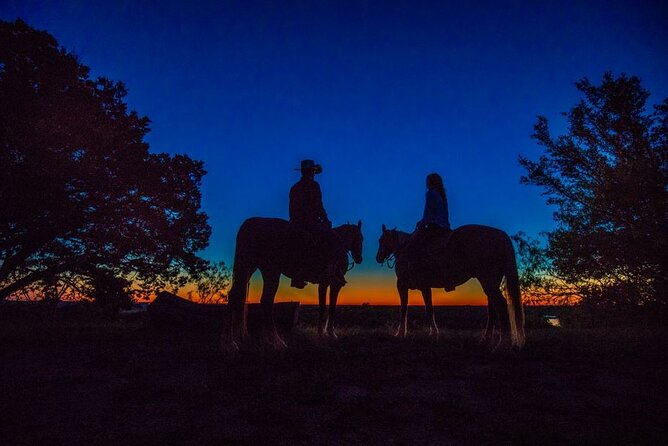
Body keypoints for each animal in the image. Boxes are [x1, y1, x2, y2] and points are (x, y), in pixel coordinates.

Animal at [220, 218, 362, 350]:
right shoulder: (329, 283)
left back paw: (230, 342)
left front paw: (326, 334)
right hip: (271, 271)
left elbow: (328, 307)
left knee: (235, 295)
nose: (359, 259)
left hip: (247, 268)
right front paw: (325, 335)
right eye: (361, 239)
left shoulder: (327, 284)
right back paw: (276, 341)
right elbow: (326, 307)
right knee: (266, 301)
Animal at [376, 225, 528, 346]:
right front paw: (433, 334)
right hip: (491, 282)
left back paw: (503, 343)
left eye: (381, 240)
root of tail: (500, 235)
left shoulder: (403, 285)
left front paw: (401, 334)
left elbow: (405, 309)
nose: (378, 258)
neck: (404, 249)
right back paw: (486, 339)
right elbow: (429, 309)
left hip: (488, 280)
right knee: (492, 309)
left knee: (500, 304)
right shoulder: (425, 287)